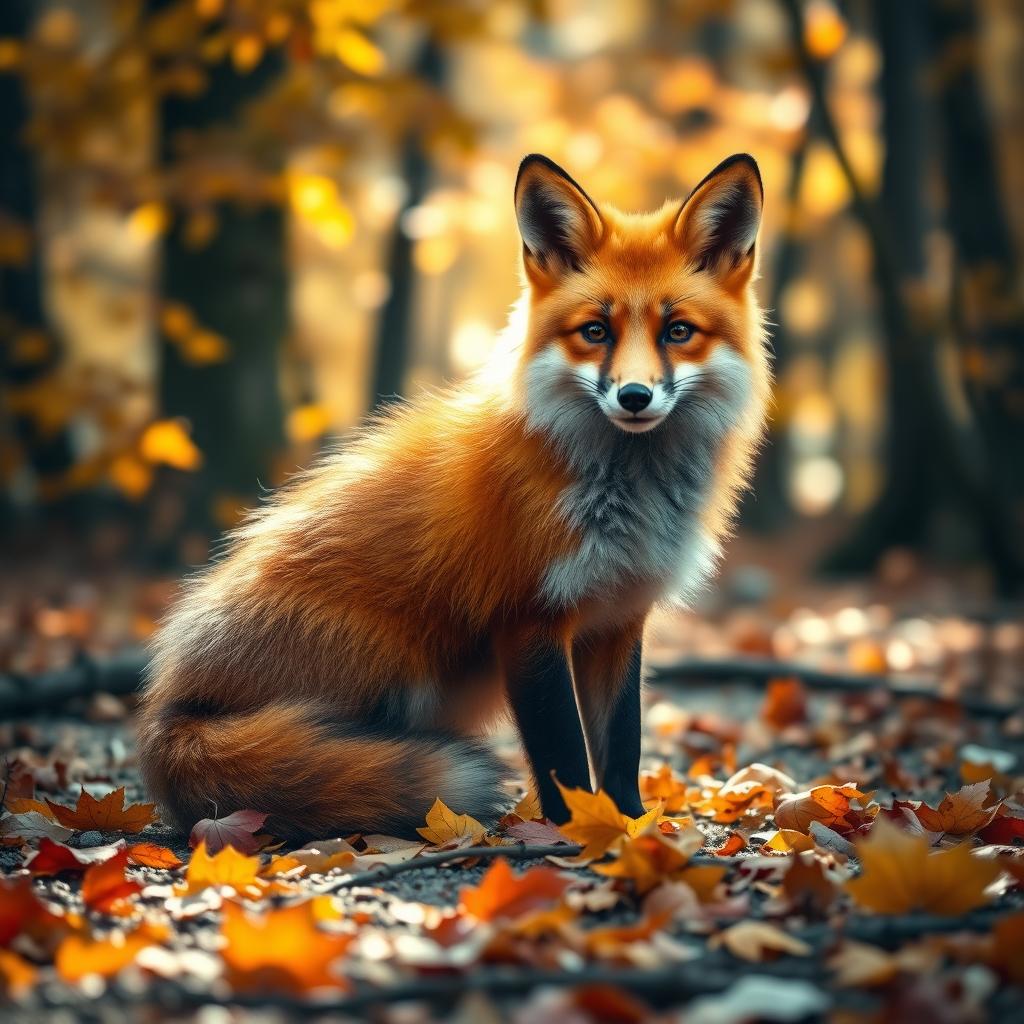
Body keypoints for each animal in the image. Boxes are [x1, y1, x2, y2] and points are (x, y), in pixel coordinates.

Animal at [137, 152, 770, 840]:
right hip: (397, 661)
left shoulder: (619, 618)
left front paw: (629, 829)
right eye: (595, 331)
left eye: (678, 331)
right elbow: (563, 758)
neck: (626, 498)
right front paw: (578, 835)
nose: (634, 396)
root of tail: (165, 710)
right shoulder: (529, 619)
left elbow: (621, 748)